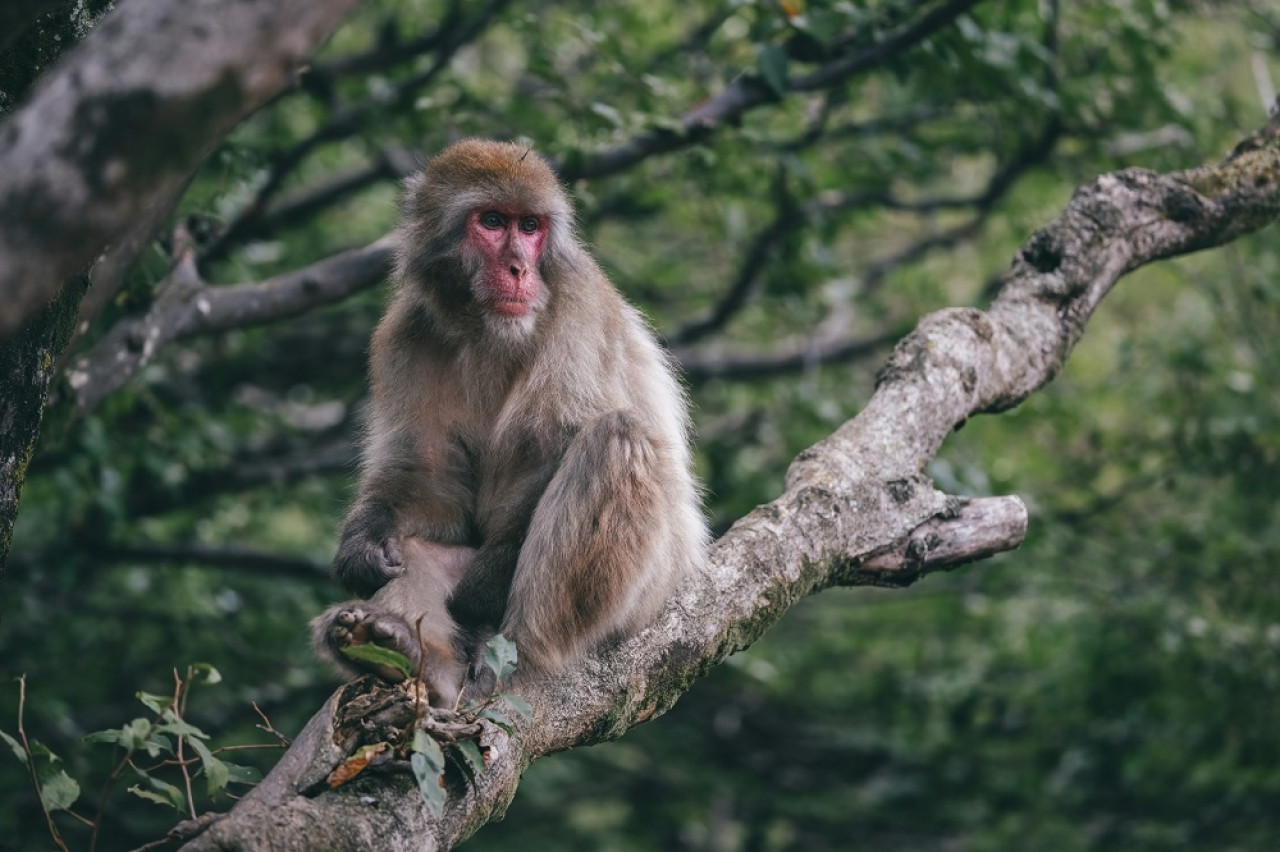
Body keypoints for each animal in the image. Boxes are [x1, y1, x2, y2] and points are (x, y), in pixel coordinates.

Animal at [313, 136, 706, 701]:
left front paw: (477, 605)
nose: (520, 267)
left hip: (649, 593)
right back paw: (411, 657)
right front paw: (363, 544)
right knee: (418, 551)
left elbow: (549, 451)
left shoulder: (579, 310)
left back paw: (517, 655)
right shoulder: (406, 332)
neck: (487, 329)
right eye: (494, 222)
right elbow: (424, 478)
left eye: (530, 227)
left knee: (617, 438)